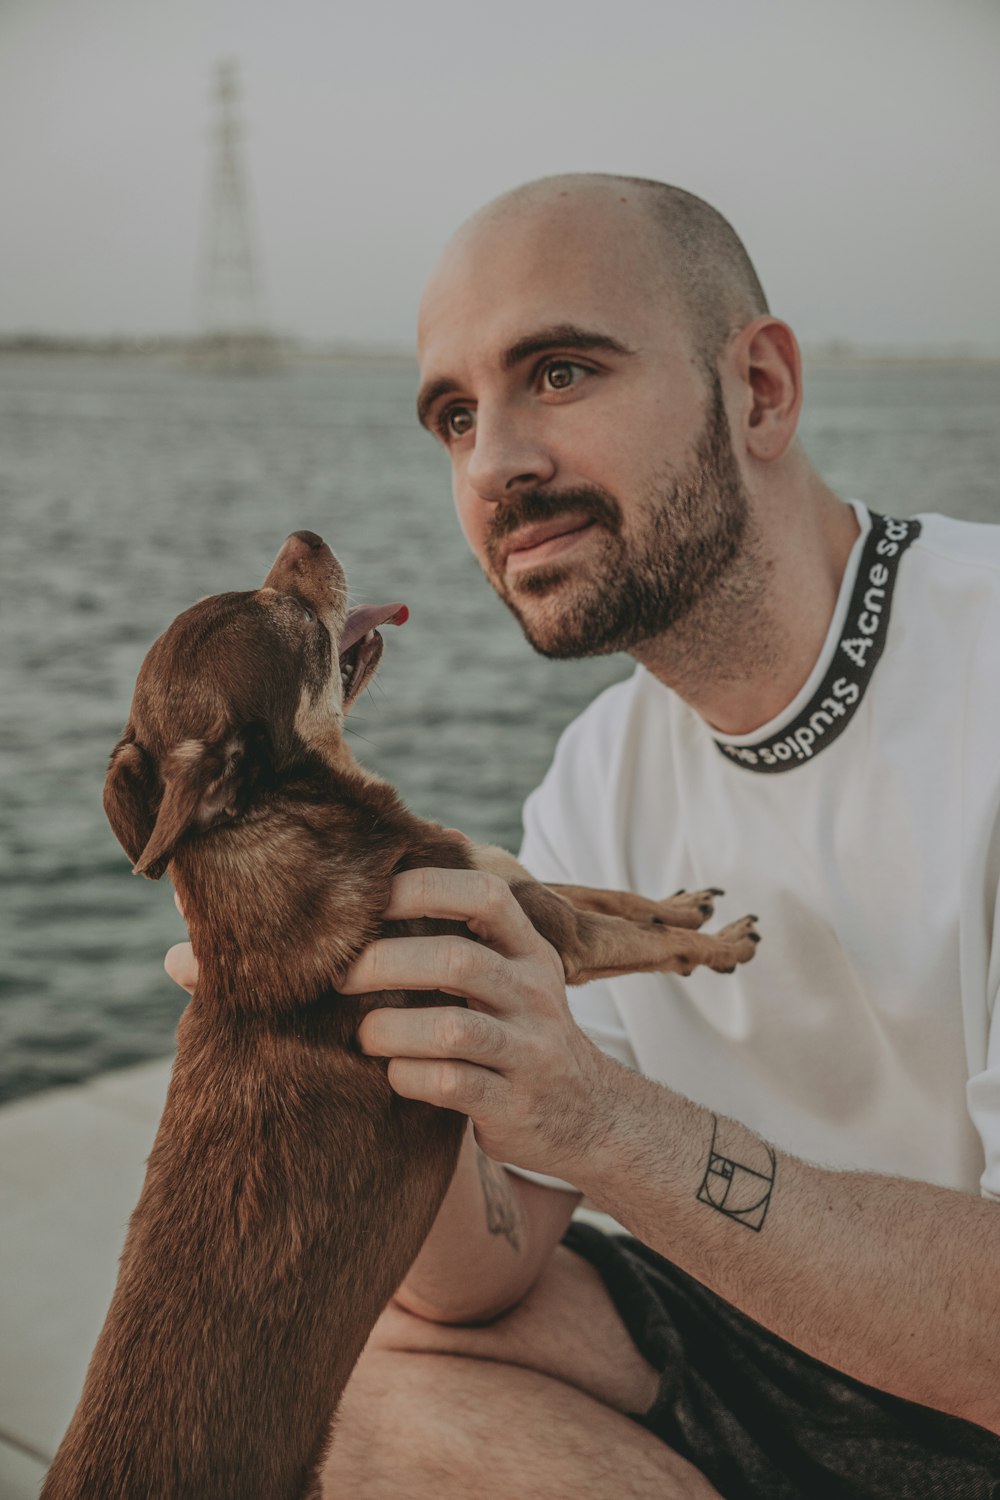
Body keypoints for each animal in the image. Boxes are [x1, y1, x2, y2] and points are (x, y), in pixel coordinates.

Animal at [41, 534, 758, 1494]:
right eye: (293, 617)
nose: (305, 536)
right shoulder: (551, 937)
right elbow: (628, 934)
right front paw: (716, 948)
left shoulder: (511, 884)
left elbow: (615, 896)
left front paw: (682, 905)